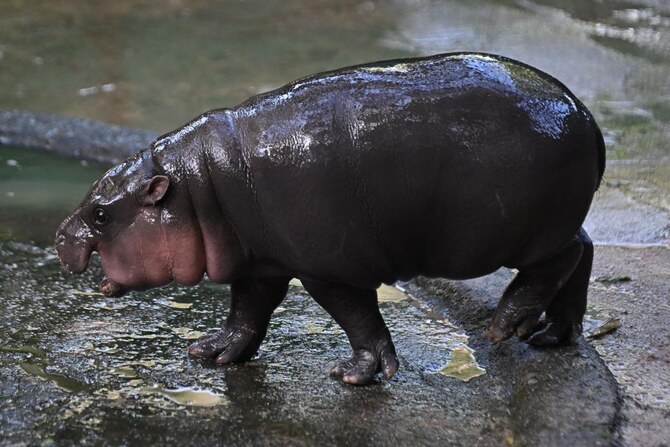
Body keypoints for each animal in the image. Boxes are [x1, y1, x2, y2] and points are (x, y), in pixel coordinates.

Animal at [55, 53, 608, 384]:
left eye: (101, 214)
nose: (60, 235)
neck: (197, 187)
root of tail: (585, 114)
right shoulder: (262, 262)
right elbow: (246, 311)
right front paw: (210, 353)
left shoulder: (326, 268)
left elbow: (358, 317)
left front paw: (355, 375)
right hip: (549, 222)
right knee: (585, 249)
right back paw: (551, 336)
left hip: (516, 233)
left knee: (562, 259)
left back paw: (506, 326)